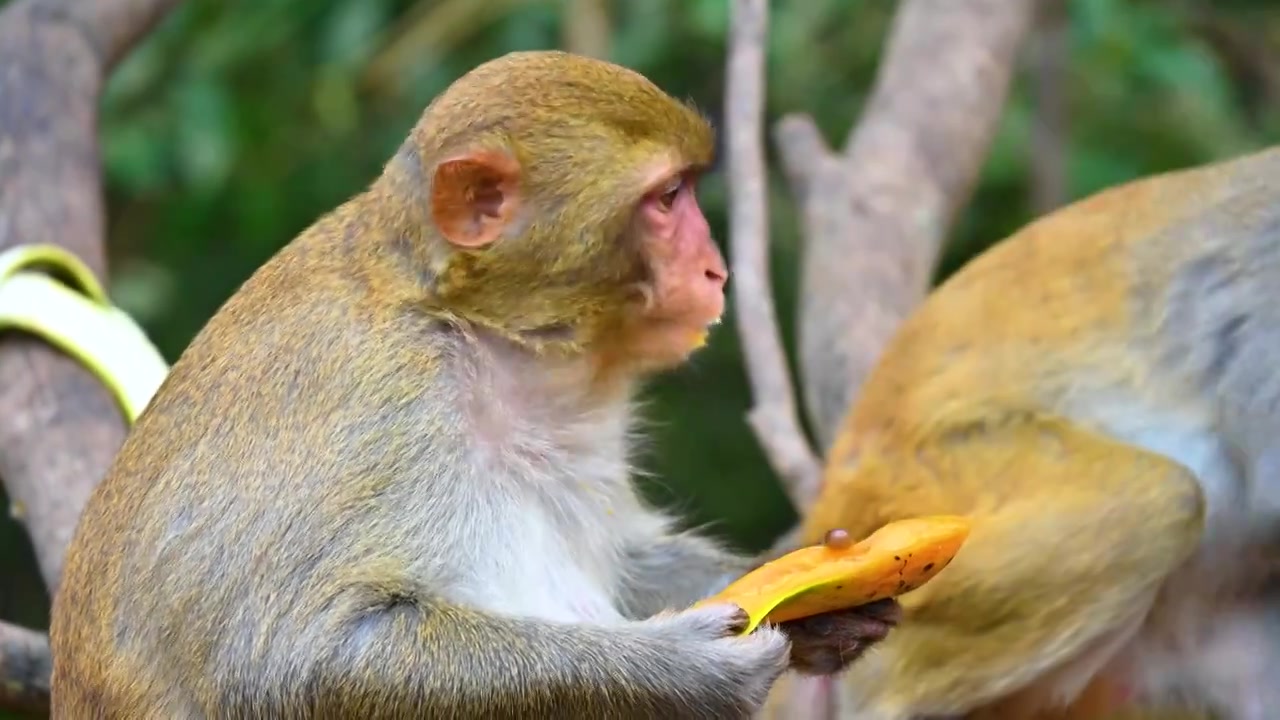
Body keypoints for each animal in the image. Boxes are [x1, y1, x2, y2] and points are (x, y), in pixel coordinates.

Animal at [49, 51, 901, 717]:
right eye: (667, 200)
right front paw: (684, 671)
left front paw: (824, 595)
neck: (481, 334)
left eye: (689, 190)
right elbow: (293, 661)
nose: (716, 270)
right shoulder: (382, 403)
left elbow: (624, 557)